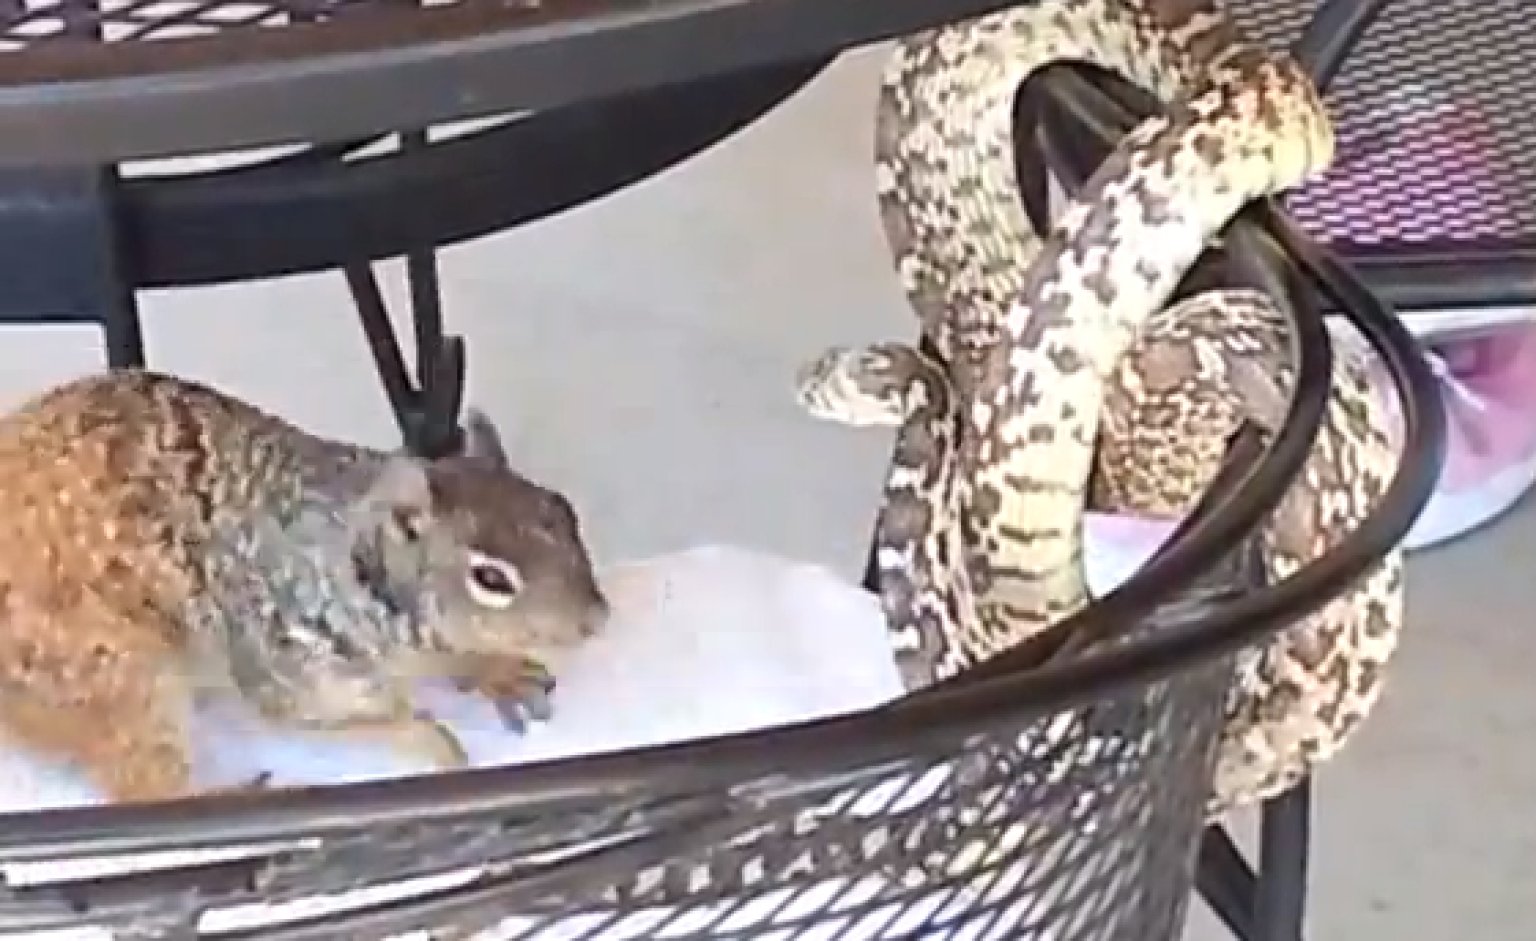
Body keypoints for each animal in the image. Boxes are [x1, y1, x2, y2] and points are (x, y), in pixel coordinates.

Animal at [0, 368, 610, 802]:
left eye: (563, 510)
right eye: (490, 577)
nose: (597, 619)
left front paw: (494, 670)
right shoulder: (285, 651)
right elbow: (324, 717)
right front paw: (427, 736)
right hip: (120, 675)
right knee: (146, 788)